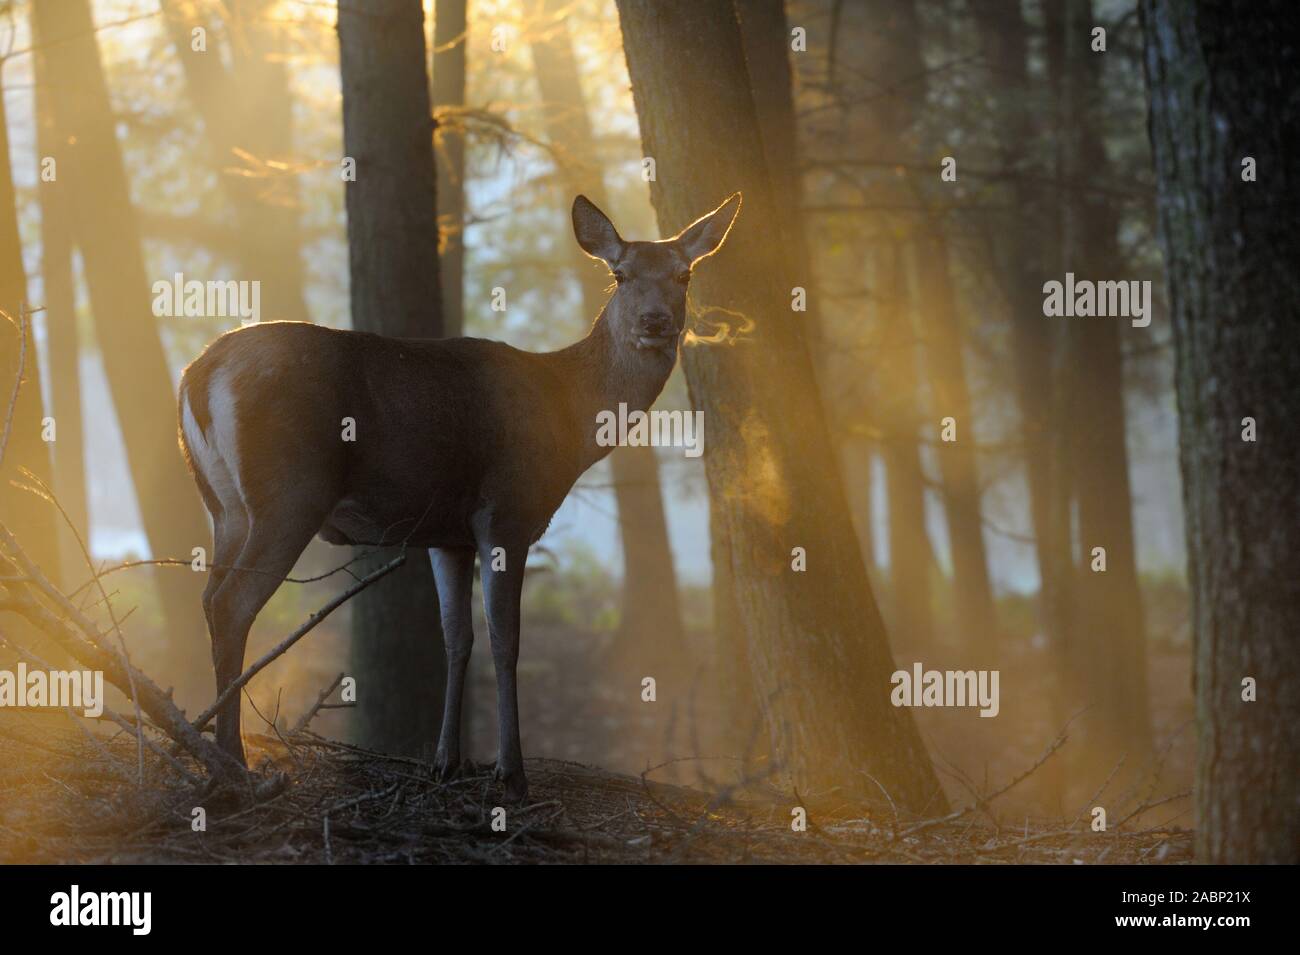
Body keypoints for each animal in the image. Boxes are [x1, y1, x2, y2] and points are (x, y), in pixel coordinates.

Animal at [178, 191, 743, 805]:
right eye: (620, 274)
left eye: (684, 274)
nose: (655, 321)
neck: (568, 419)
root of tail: (198, 375)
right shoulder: (508, 512)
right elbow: (505, 638)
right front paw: (510, 772)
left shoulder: (447, 534)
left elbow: (456, 637)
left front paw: (445, 762)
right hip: (288, 495)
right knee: (232, 603)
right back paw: (235, 764)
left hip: (224, 507)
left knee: (207, 597)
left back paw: (215, 754)